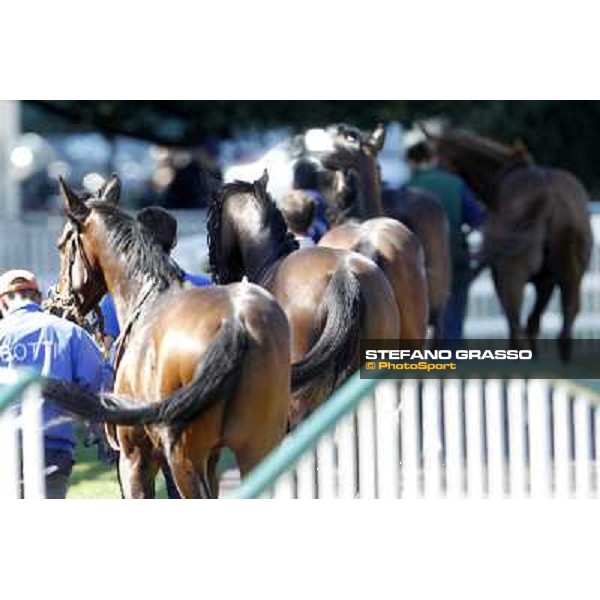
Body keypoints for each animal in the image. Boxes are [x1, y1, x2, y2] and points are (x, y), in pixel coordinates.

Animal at [41, 176, 292, 500]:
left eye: (62, 245)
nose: (55, 303)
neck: (148, 295)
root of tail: (237, 322)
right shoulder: (212, 459)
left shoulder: (136, 458)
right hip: (258, 447)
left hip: (184, 459)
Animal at [428, 126, 592, 358]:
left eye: (438, 157)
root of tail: (547, 195)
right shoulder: (546, 281)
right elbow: (533, 324)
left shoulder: (503, 277)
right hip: (570, 275)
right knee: (565, 328)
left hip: (512, 275)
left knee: (516, 328)